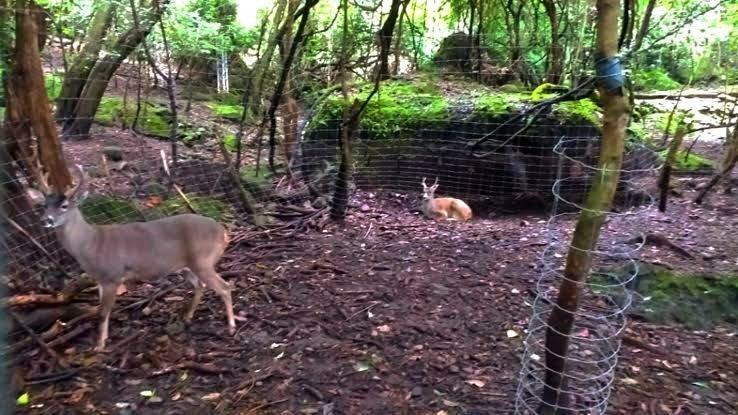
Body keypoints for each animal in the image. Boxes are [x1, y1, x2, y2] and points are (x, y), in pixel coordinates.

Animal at [27, 165, 234, 352]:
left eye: (64, 206)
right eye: (44, 205)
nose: (46, 220)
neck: (91, 244)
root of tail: (223, 232)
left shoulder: (112, 275)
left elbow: (102, 312)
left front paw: (99, 346)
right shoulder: (100, 279)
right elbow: (102, 311)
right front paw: (103, 339)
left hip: (203, 260)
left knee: (224, 287)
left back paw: (231, 326)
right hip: (185, 266)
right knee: (200, 285)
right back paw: (188, 316)